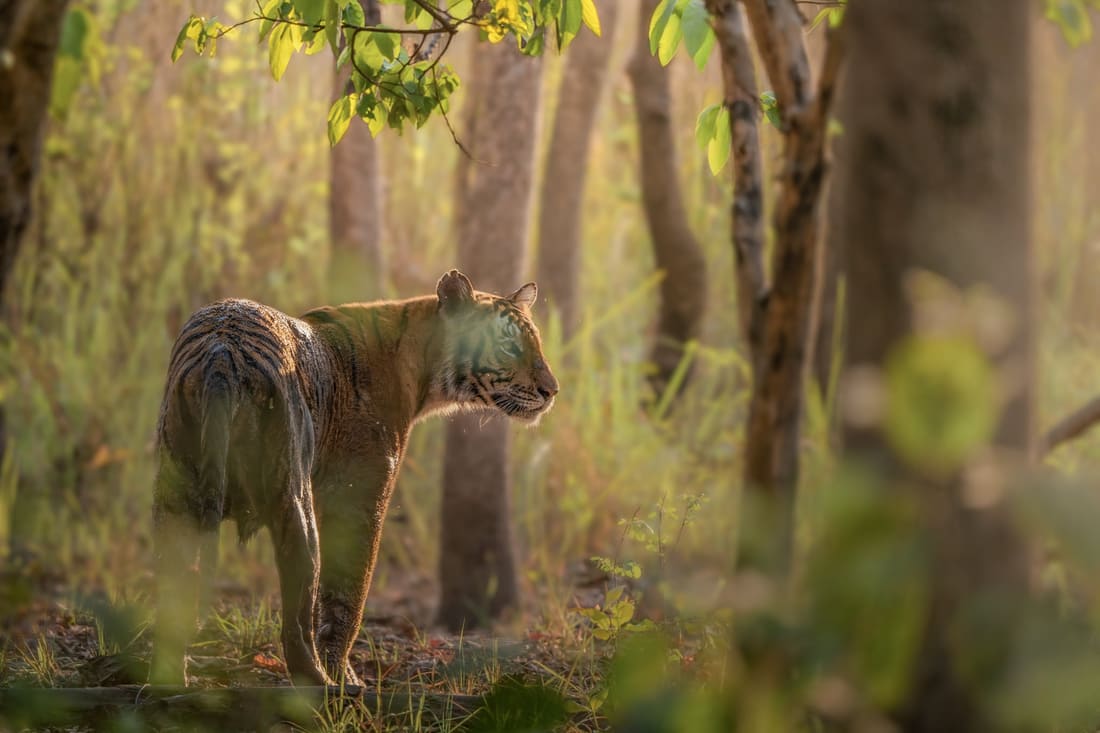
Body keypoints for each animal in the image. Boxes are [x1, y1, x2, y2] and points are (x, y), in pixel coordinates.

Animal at [149, 269, 559, 686]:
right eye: (509, 347)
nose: (552, 391)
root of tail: (223, 353)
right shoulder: (360, 494)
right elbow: (348, 593)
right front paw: (346, 676)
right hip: (296, 504)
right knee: (297, 619)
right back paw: (322, 684)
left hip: (176, 503)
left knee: (172, 599)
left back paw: (170, 679)